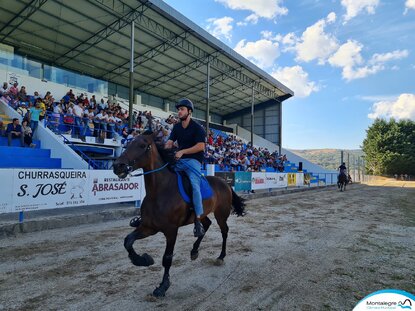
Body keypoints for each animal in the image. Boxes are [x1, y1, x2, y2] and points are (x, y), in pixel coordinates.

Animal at [112, 132, 245, 298]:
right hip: (201, 215)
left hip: (221, 214)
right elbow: (128, 241)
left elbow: (167, 258)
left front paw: (163, 286)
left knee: (224, 231)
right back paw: (194, 251)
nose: (118, 166)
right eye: (128, 143)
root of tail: (224, 183)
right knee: (206, 226)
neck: (159, 191)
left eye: (142, 145)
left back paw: (221, 256)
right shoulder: (148, 227)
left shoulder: (171, 231)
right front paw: (143, 260)